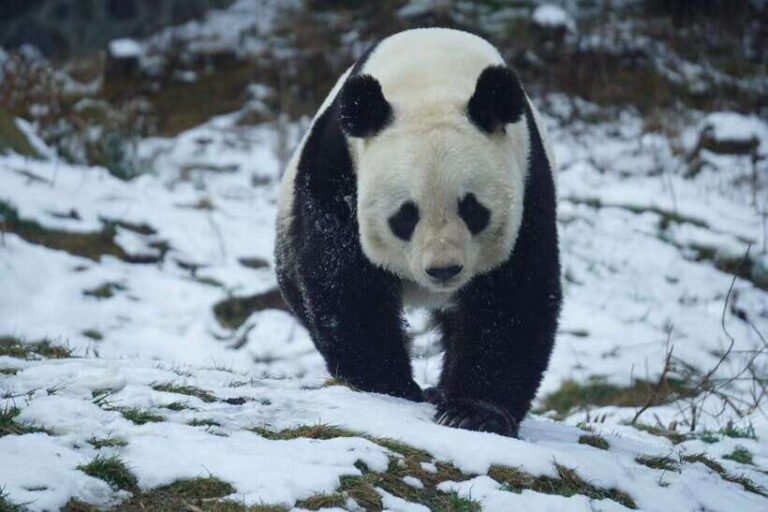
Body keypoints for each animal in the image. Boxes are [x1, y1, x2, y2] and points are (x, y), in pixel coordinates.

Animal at [275, 28, 561, 437]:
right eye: (405, 216)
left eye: (472, 209)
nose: (443, 270)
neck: (431, 80)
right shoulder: (337, 168)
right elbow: (344, 277)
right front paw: (386, 384)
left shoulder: (528, 180)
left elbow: (513, 294)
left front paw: (473, 412)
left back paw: (440, 392)